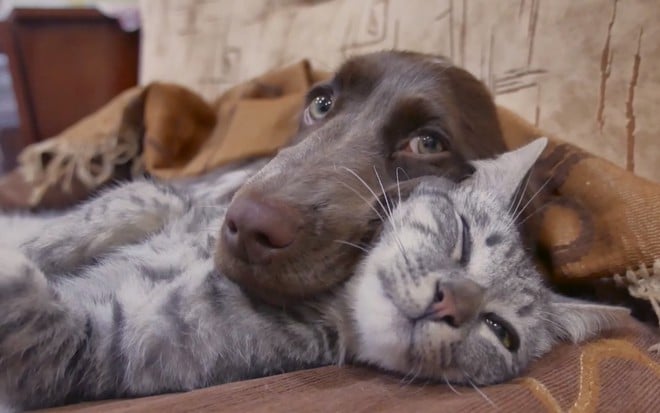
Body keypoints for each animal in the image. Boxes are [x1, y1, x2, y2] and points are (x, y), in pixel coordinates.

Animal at [0, 138, 628, 408]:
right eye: (464, 239)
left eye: (501, 331)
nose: (450, 300)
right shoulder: (170, 201)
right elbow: (116, 208)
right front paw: (40, 239)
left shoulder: (104, 346)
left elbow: (36, 312)